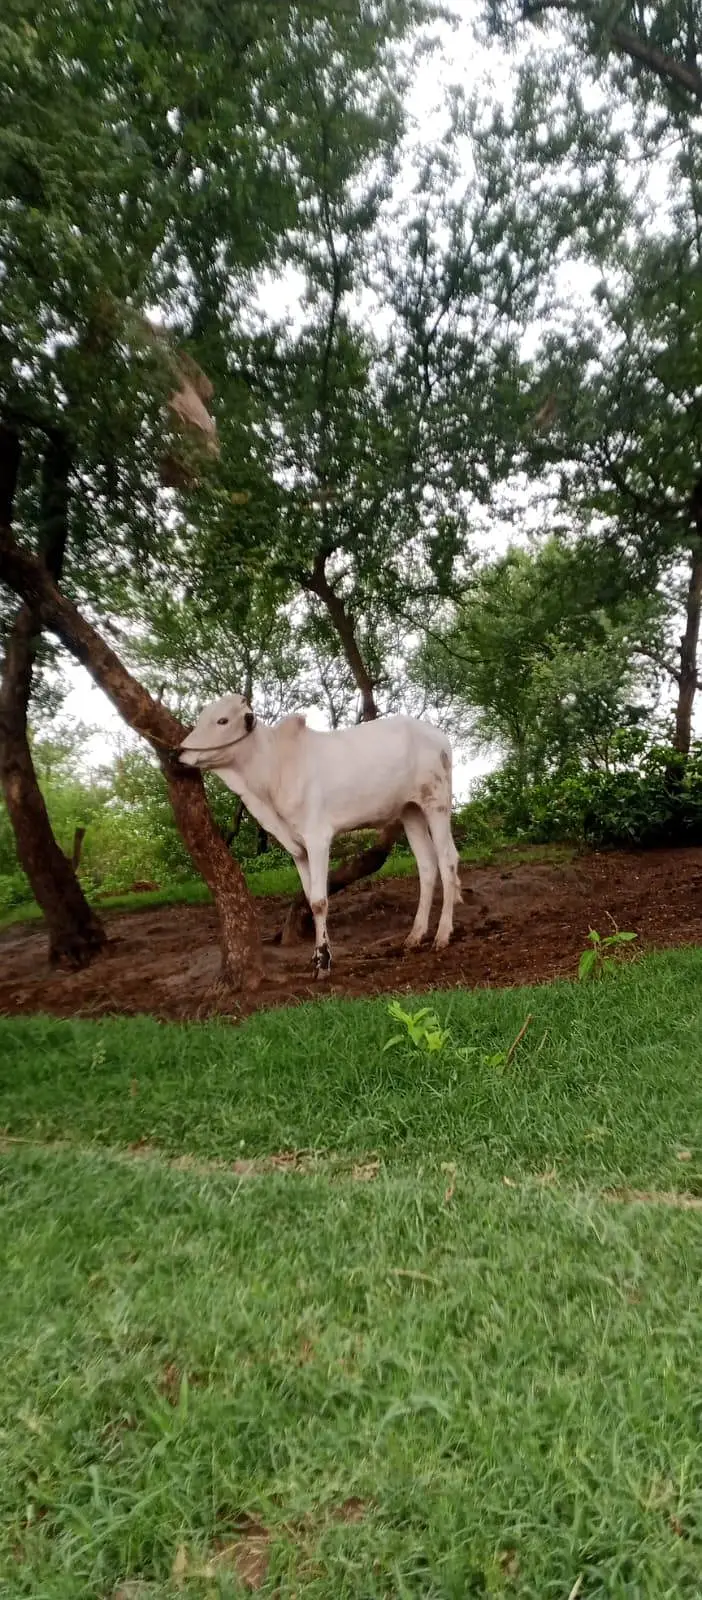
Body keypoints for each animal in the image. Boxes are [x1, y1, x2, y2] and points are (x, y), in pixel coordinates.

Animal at [178, 694, 462, 977]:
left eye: (222, 720)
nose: (179, 752)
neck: (273, 769)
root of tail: (437, 734)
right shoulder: (298, 850)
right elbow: (309, 899)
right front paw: (317, 956)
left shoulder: (317, 838)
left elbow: (318, 901)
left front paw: (323, 961)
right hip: (410, 811)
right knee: (427, 865)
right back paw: (415, 936)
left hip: (435, 804)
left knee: (447, 860)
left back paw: (442, 935)